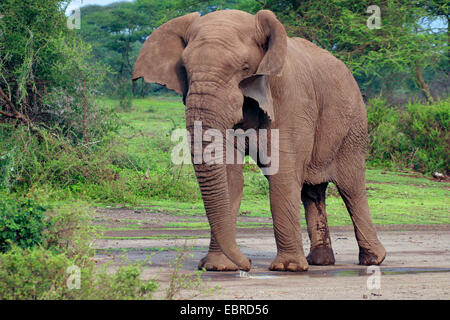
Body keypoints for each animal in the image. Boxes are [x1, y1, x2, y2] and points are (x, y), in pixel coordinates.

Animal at [133, 8, 386, 272]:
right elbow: (230, 176)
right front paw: (218, 267)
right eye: (184, 69)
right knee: (313, 191)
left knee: (351, 187)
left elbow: (282, 173)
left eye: (245, 68)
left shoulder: (291, 96)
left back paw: (373, 260)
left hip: (354, 126)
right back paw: (320, 262)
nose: (248, 264)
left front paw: (287, 268)